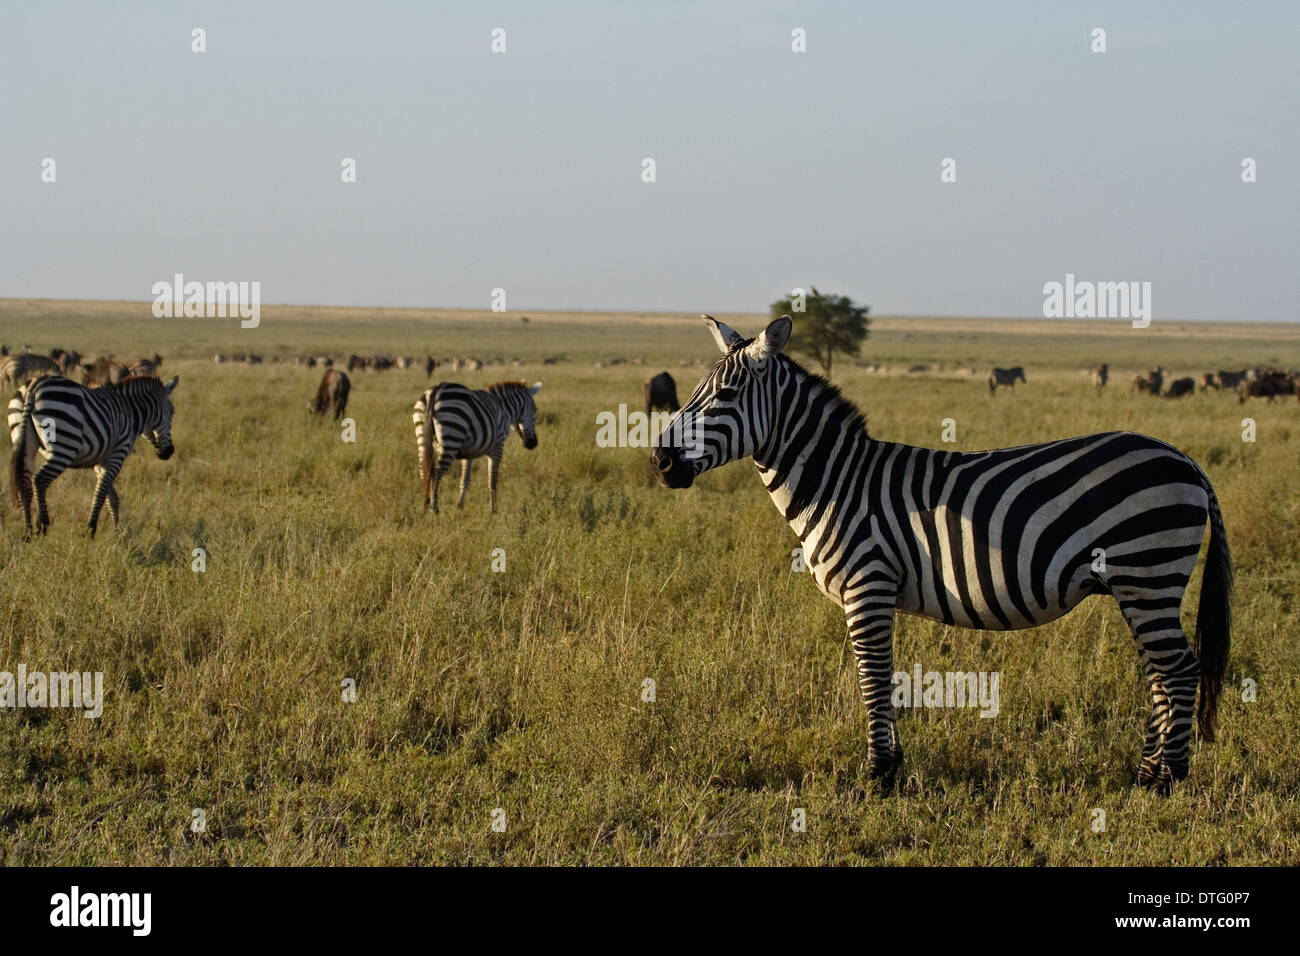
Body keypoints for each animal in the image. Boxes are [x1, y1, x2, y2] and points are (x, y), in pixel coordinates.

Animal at [9, 374, 180, 539]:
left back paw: (28, 532)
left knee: (24, 484)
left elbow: (111, 497)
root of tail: (33, 386)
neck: (131, 411)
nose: (169, 452)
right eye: (172, 412)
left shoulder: (101, 462)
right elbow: (101, 493)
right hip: (64, 447)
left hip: (24, 442)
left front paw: (117, 533)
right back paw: (42, 524)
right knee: (40, 479)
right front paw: (90, 530)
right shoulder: (117, 455)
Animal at [412, 380, 542, 514]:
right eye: (535, 410)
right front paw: (493, 510)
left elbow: (465, 480)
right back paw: (434, 508)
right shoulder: (498, 446)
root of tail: (435, 390)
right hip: (451, 437)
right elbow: (492, 478)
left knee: (425, 471)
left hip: (423, 437)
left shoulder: (468, 453)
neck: (504, 409)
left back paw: (424, 507)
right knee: (437, 472)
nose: (533, 444)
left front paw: (460, 506)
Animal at [651, 316, 1231, 794]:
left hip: (1148, 573)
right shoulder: (878, 594)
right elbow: (886, 678)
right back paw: (1146, 772)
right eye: (693, 391)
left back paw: (1165, 780)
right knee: (1160, 671)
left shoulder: (868, 586)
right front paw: (893, 766)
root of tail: (1185, 460)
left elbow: (872, 678)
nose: (660, 460)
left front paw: (877, 777)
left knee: (1179, 670)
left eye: (725, 395)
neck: (838, 482)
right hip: (1141, 585)